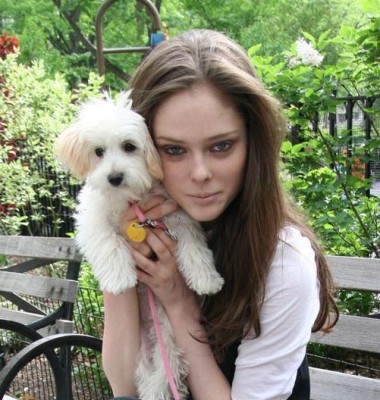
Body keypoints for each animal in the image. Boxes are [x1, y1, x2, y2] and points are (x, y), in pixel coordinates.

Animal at [55, 93, 224, 400]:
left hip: (167, 345)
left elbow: (194, 246)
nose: (114, 177)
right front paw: (120, 278)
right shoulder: (92, 219)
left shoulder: (177, 216)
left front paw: (207, 279)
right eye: (98, 151)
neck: (130, 199)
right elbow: (108, 241)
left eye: (129, 147)